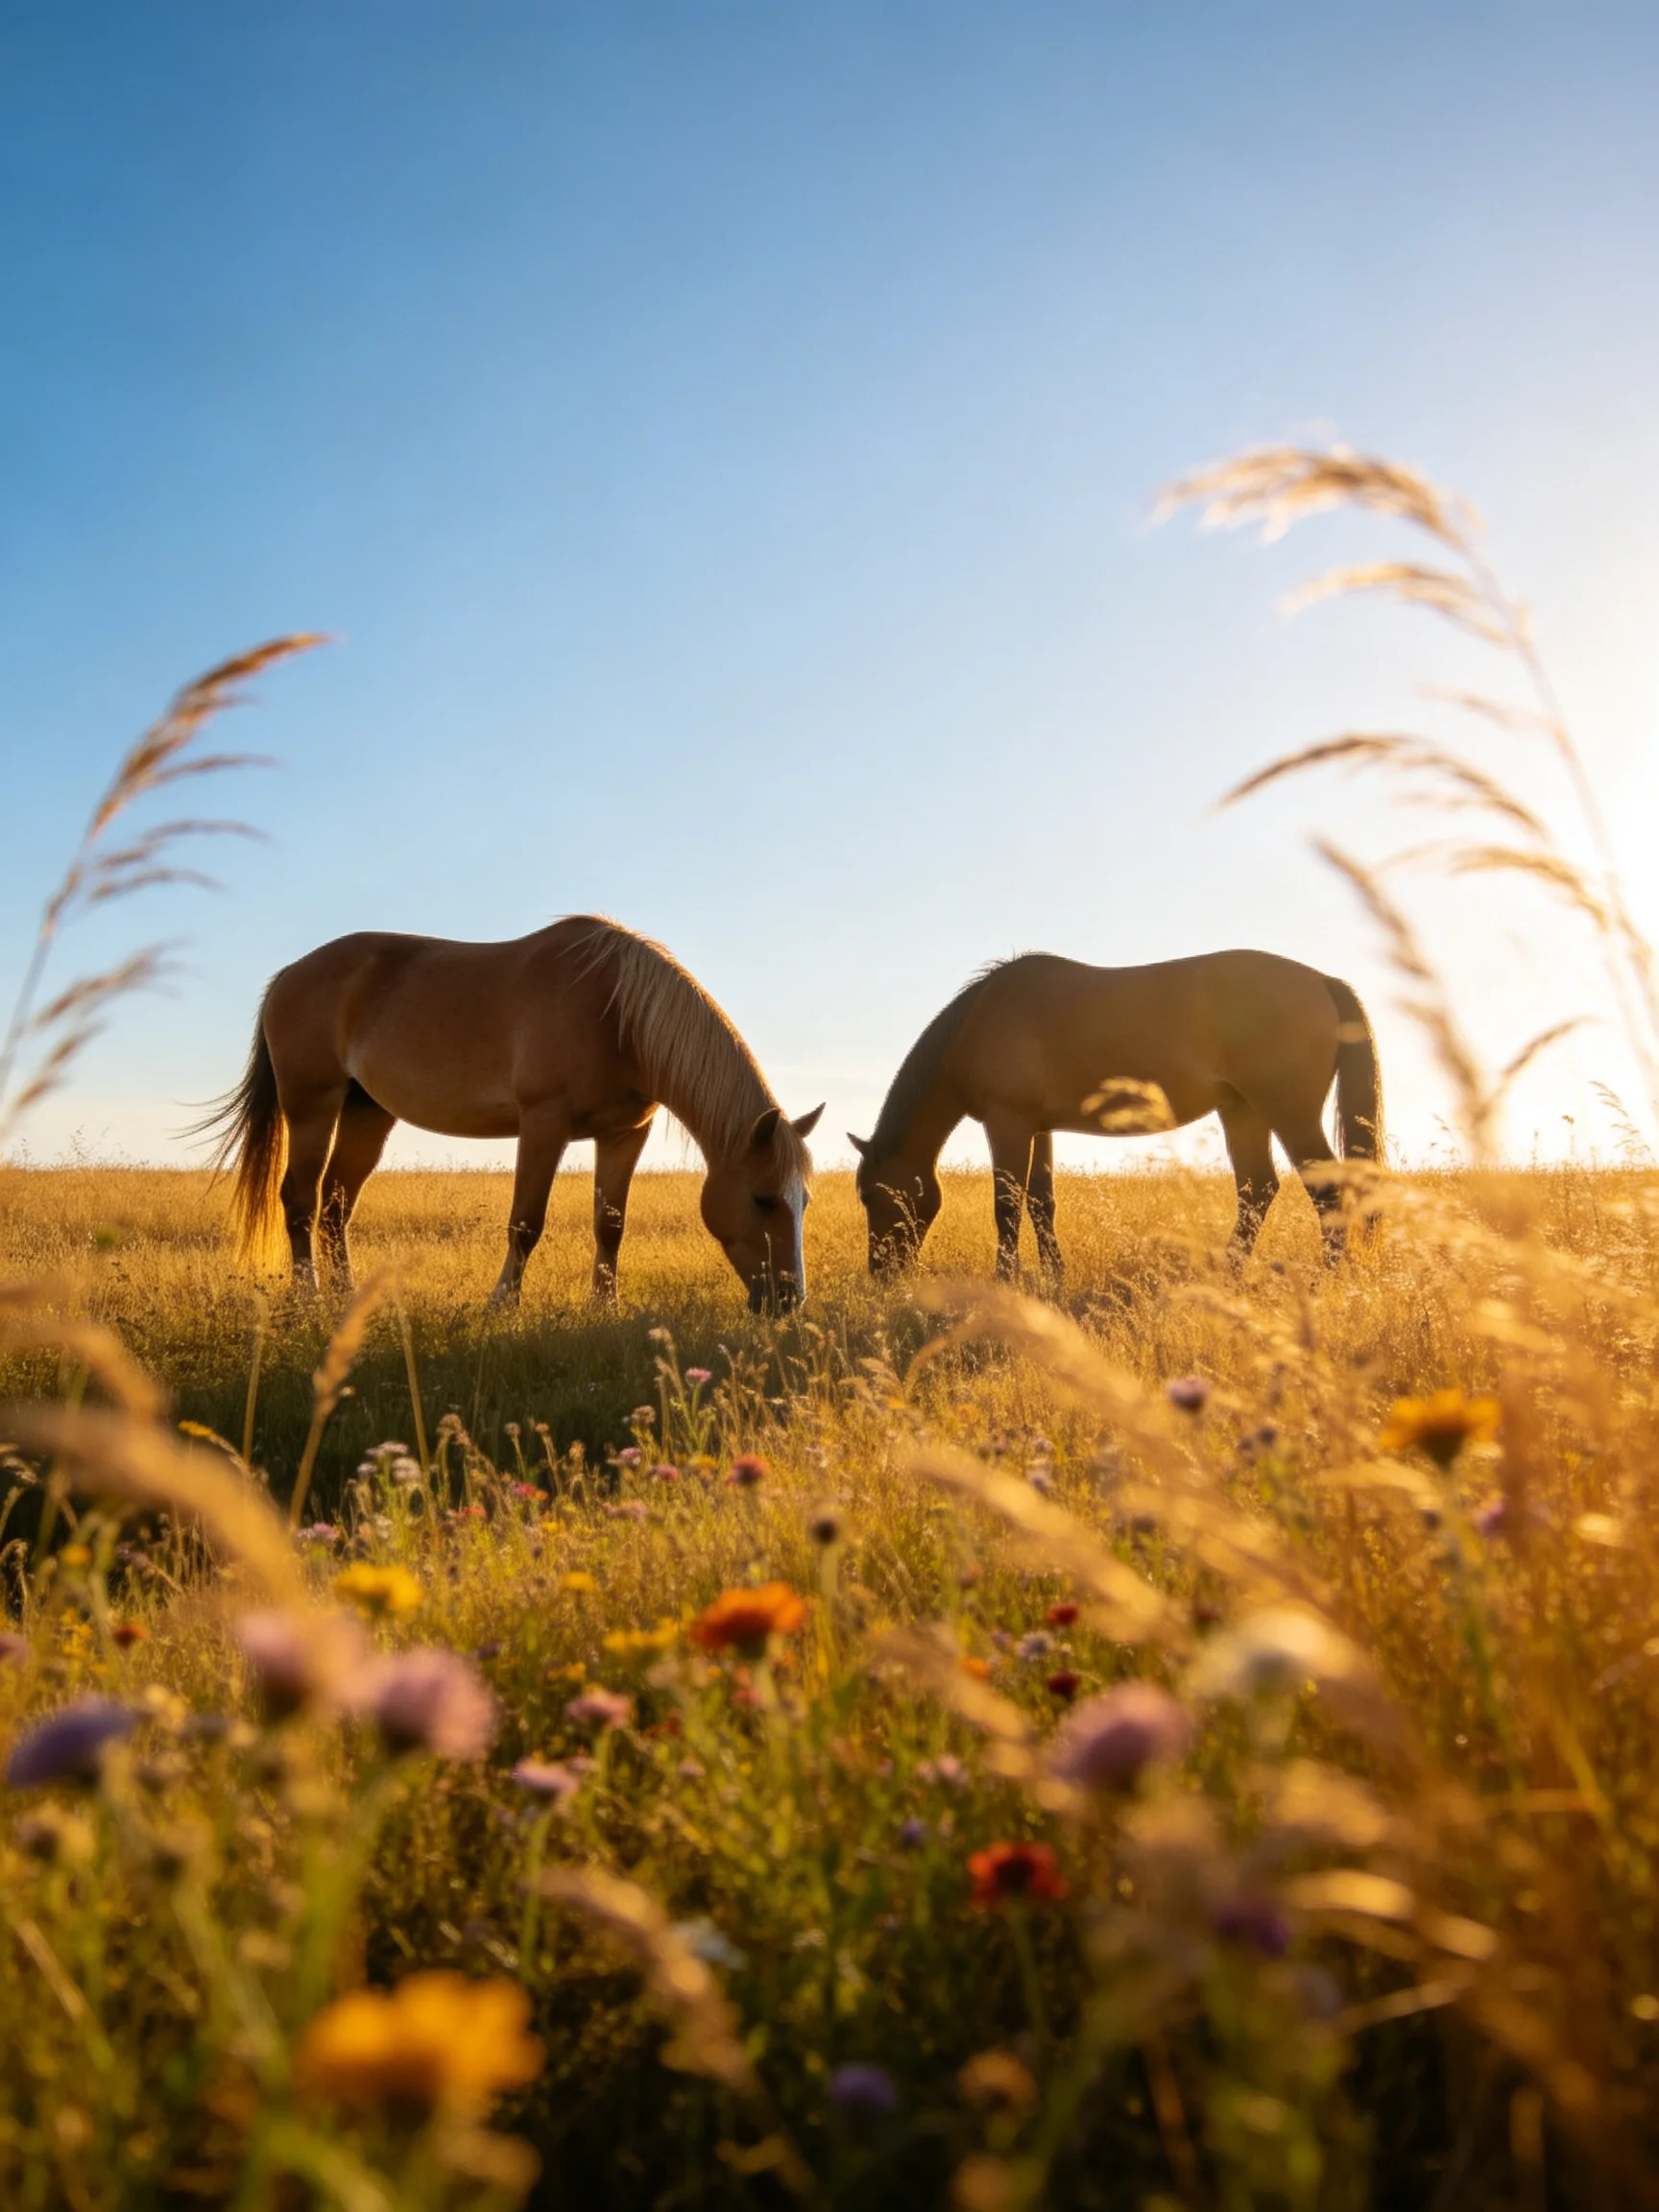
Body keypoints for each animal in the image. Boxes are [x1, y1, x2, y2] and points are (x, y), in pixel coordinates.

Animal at [199, 916, 824, 1310]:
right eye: (763, 1199)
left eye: (804, 1201)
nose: (789, 1301)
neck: (618, 1014)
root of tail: (289, 975)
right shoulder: (544, 1124)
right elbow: (526, 1223)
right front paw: (502, 1304)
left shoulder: (625, 1135)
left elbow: (611, 1225)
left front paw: (604, 1306)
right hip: (312, 1106)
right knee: (301, 1201)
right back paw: (309, 1299)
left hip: (367, 1112)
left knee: (335, 1206)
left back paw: (345, 1298)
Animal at [849, 949, 1382, 1282]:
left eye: (871, 1195)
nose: (881, 1273)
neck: (977, 1022)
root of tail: (1322, 981)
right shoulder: (1038, 1128)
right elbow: (1041, 1203)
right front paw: (1054, 1277)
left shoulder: (1008, 1123)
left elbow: (1007, 1206)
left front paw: (1005, 1280)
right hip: (1243, 1111)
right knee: (1257, 1190)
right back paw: (1228, 1274)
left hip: (1288, 1113)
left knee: (1325, 1191)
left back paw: (1325, 1279)